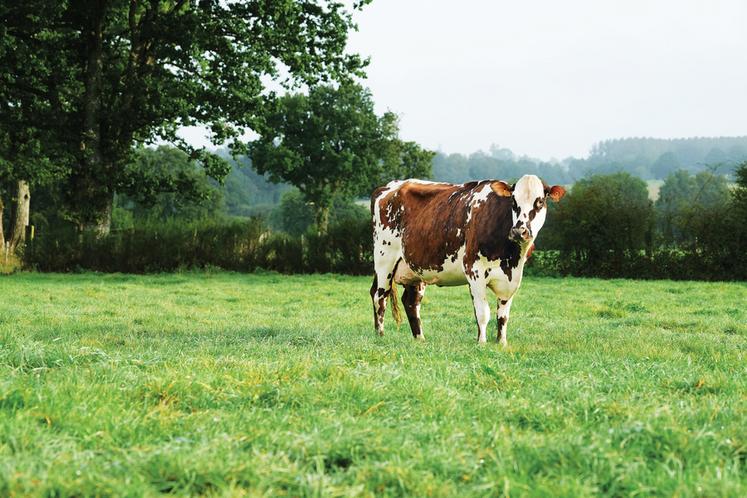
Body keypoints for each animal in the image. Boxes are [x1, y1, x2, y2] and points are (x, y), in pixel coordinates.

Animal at [368, 176, 568, 346]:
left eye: (540, 201)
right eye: (513, 201)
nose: (519, 231)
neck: (511, 258)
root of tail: (390, 186)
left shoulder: (512, 278)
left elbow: (503, 315)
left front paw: (502, 343)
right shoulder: (474, 270)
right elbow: (483, 312)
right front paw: (482, 343)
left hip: (415, 268)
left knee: (411, 302)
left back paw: (419, 338)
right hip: (384, 259)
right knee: (379, 295)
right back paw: (380, 335)